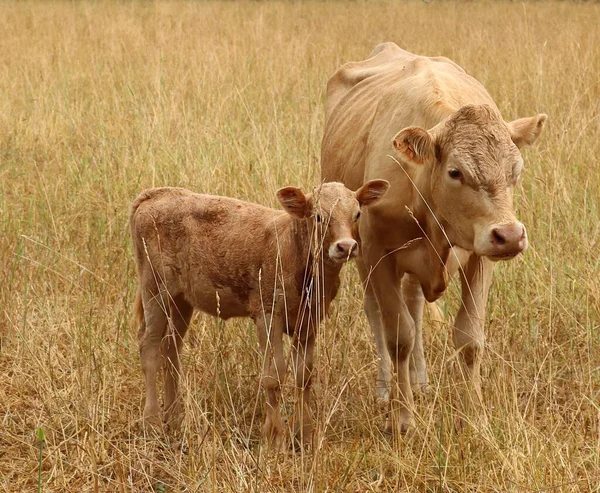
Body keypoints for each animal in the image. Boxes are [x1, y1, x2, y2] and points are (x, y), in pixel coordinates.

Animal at [130, 181, 390, 446]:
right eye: (318, 216)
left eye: (357, 214)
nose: (346, 246)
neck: (293, 250)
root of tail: (157, 193)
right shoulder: (268, 315)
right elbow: (274, 375)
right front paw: (274, 436)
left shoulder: (310, 320)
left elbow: (303, 375)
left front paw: (304, 433)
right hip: (155, 288)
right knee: (149, 345)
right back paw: (151, 422)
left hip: (181, 300)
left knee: (171, 348)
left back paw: (174, 419)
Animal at [322, 43, 548, 434]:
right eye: (456, 172)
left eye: (516, 170)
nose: (509, 236)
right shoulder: (378, 254)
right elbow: (399, 335)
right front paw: (402, 417)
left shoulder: (480, 258)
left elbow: (469, 339)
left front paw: (476, 418)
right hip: (360, 256)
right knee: (375, 312)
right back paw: (386, 388)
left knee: (414, 304)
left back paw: (421, 380)